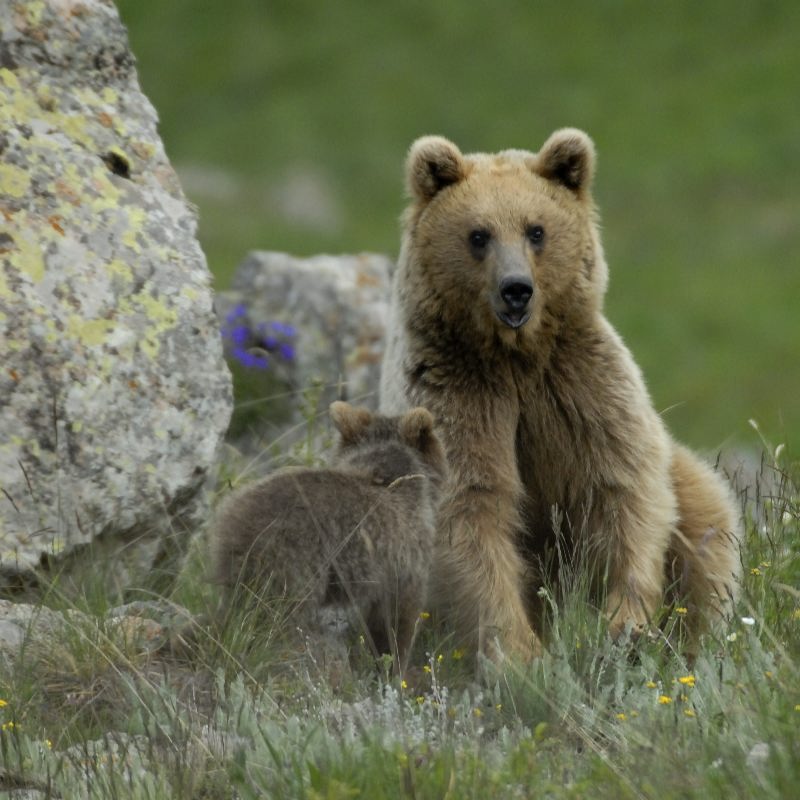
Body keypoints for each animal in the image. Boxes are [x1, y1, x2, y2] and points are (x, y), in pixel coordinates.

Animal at [212, 404, 446, 672]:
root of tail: (232, 522)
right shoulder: (405, 558)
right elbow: (398, 620)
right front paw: (391, 666)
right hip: (290, 564)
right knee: (272, 619)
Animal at [382, 126, 744, 664]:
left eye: (536, 230)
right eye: (478, 235)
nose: (516, 289)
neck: (515, 358)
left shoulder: (581, 388)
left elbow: (623, 487)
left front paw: (623, 622)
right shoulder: (456, 398)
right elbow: (471, 513)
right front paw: (520, 652)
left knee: (704, 524)